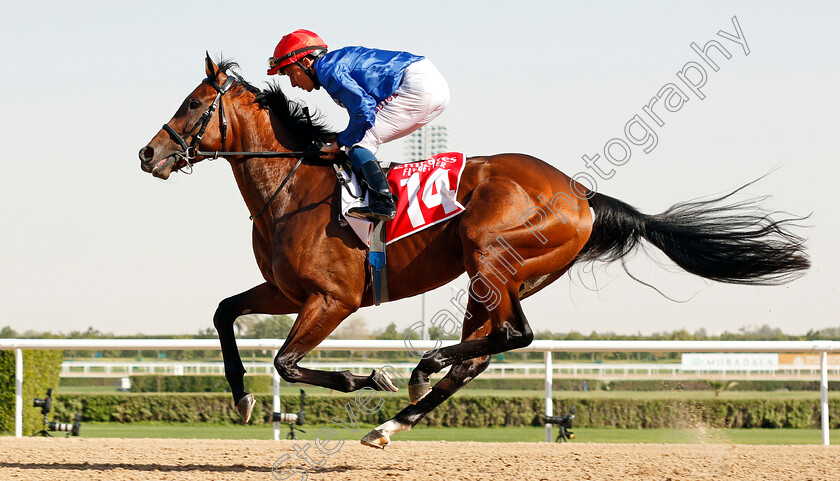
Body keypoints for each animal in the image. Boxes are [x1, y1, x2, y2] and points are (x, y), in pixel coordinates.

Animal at [138, 55, 808, 446]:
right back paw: (394, 420)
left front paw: (367, 375)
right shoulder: (285, 290)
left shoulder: (332, 299)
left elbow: (286, 362)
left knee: (514, 336)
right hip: (498, 277)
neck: (294, 186)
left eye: (193, 105)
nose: (148, 154)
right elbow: (225, 313)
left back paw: (415, 372)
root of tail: (582, 194)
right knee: (483, 352)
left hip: (490, 254)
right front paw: (243, 397)